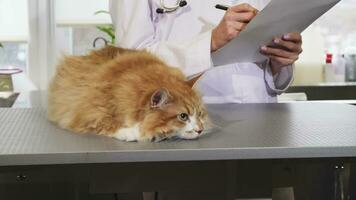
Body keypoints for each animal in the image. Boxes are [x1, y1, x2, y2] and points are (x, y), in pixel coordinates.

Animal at [47, 46, 209, 141]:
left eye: (200, 113)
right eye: (183, 116)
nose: (200, 130)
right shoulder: (88, 111)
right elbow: (108, 123)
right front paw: (133, 132)